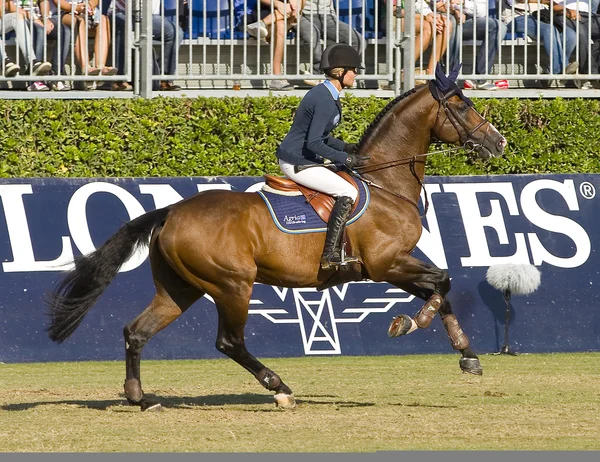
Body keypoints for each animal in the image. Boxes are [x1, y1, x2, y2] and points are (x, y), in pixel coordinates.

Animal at [47, 67, 506, 412]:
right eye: (462, 105)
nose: (498, 142)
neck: (385, 183)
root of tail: (172, 212)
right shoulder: (386, 264)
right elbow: (442, 281)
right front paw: (408, 323)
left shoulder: (392, 265)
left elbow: (441, 289)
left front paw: (467, 355)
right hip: (232, 285)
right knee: (228, 341)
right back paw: (279, 387)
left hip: (179, 289)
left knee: (137, 332)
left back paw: (141, 399)